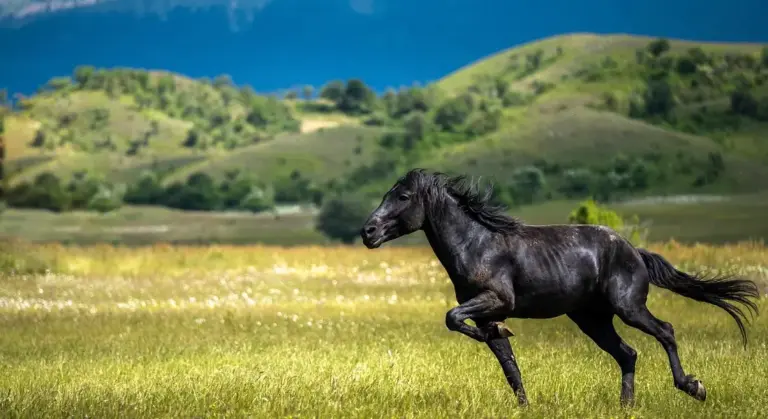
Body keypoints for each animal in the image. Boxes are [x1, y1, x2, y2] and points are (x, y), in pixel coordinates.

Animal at [359, 168, 760, 407]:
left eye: (403, 197)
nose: (368, 232)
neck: (477, 244)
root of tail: (634, 250)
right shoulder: (487, 312)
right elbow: (506, 362)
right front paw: (523, 403)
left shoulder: (495, 300)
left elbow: (452, 317)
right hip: (592, 319)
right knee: (628, 354)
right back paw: (625, 407)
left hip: (629, 307)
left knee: (665, 331)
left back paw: (693, 387)